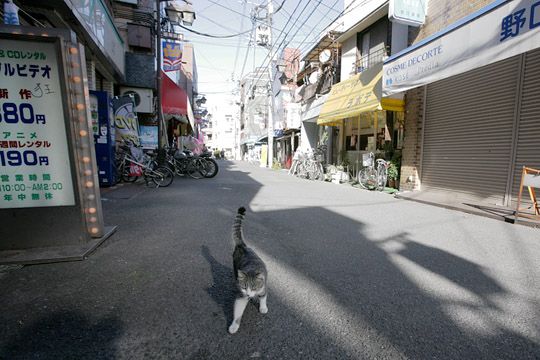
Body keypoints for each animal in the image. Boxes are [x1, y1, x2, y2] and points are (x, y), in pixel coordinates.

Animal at [229, 207, 268, 336]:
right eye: (244, 287)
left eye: (254, 288)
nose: (249, 295)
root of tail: (242, 245)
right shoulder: (241, 296)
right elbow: (238, 311)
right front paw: (234, 326)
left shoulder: (263, 287)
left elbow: (263, 298)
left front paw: (263, 308)